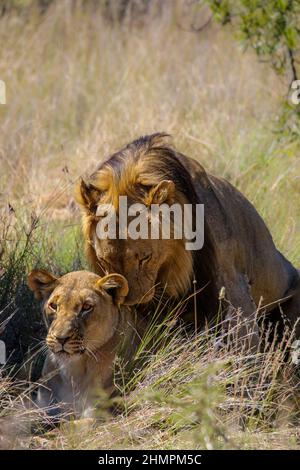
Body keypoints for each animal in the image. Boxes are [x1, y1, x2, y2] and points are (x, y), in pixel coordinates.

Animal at [28, 268, 131, 418]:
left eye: (86, 307)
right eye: (53, 306)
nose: (61, 338)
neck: (72, 370)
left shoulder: (96, 415)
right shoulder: (42, 407)